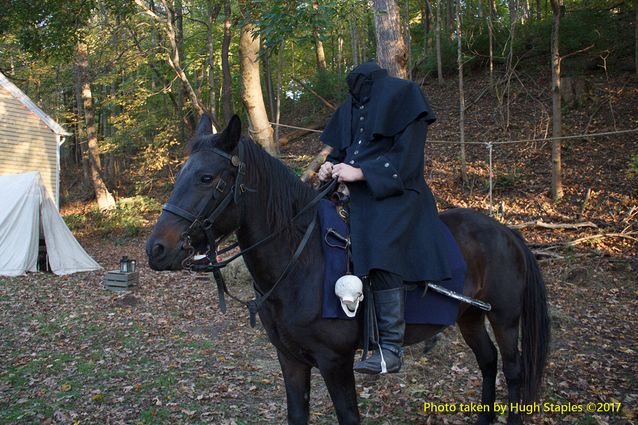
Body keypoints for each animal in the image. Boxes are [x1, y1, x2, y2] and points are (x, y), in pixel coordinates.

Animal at [148, 114, 552, 422]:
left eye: (207, 178)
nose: (156, 249)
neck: (301, 261)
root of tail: (506, 231)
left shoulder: (335, 362)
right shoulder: (290, 360)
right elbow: (298, 414)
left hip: (504, 318)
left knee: (513, 370)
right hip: (469, 316)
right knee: (488, 361)